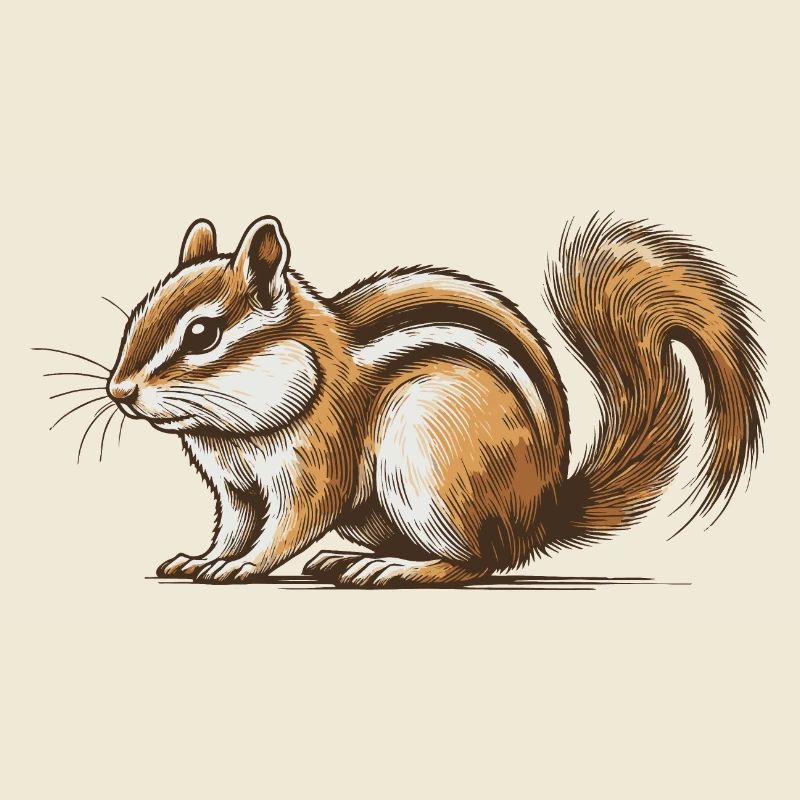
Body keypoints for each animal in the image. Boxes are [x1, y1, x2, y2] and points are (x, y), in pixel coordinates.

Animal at [105, 214, 766, 586]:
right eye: (136, 315)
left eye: (202, 334)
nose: (119, 392)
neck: (232, 431)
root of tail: (540, 512)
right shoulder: (236, 489)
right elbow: (235, 526)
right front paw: (203, 558)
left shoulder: (319, 463)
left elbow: (292, 524)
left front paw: (243, 566)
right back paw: (345, 561)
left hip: (430, 469)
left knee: (475, 562)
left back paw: (397, 570)